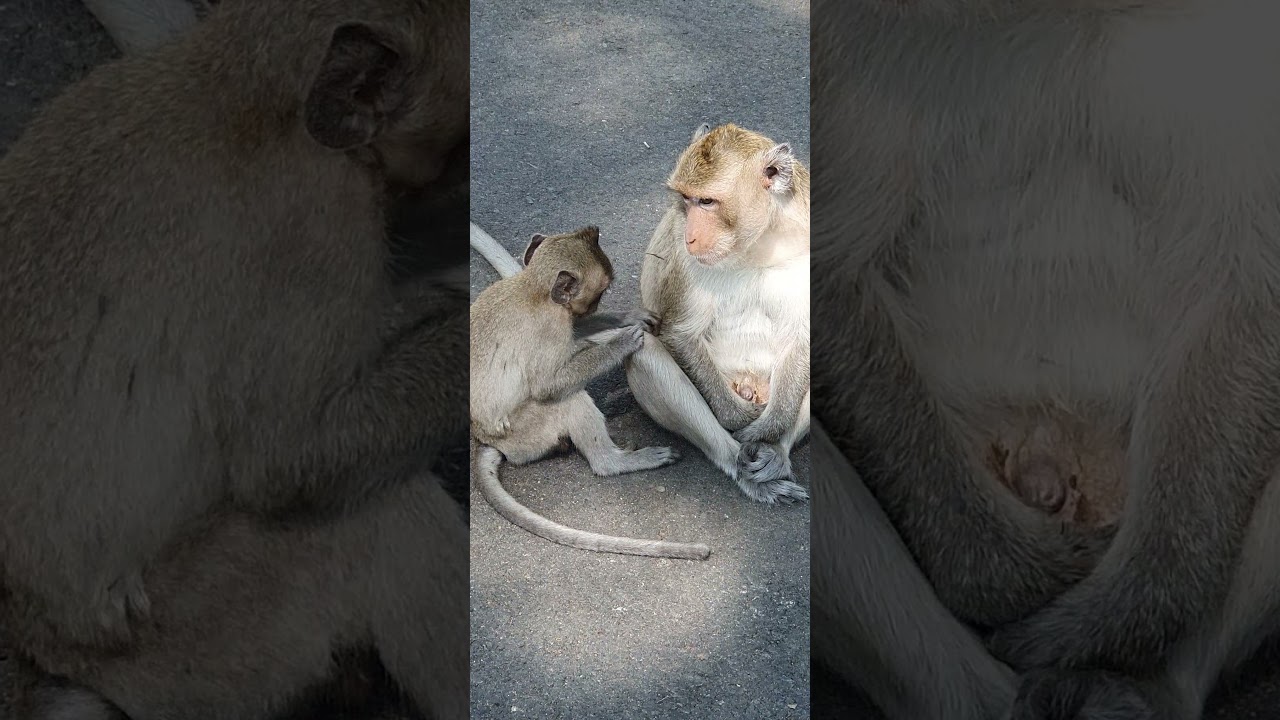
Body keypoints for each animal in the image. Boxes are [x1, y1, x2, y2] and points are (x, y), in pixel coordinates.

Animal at [470, 226, 710, 561]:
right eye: (601, 291)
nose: (596, 306)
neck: (532, 288)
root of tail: (485, 439)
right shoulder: (549, 328)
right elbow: (547, 385)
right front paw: (622, 342)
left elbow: (577, 329)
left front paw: (625, 318)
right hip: (526, 432)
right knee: (570, 401)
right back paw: (616, 462)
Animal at [624, 123, 811, 506]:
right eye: (686, 198)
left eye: (707, 201)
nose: (691, 236)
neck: (755, 248)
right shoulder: (684, 261)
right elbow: (680, 334)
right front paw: (740, 420)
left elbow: (802, 338)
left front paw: (766, 430)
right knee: (643, 348)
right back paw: (740, 464)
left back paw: (776, 455)